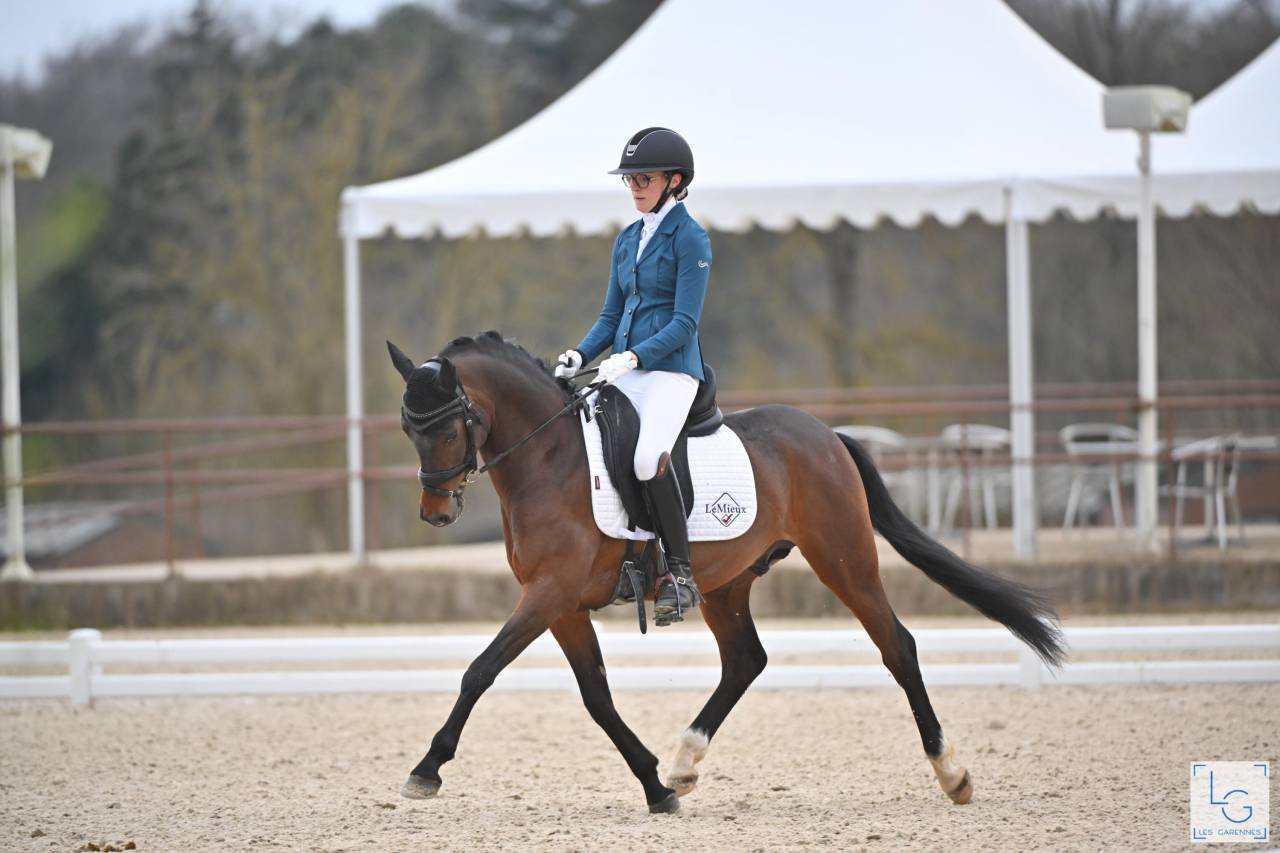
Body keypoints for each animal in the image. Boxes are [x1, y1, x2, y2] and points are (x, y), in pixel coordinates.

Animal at [387, 330, 1064, 815]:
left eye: (446, 427)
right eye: (406, 429)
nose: (435, 513)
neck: (550, 460)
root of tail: (826, 434)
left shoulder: (549, 594)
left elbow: (480, 671)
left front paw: (426, 769)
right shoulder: (562, 605)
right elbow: (597, 697)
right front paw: (655, 786)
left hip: (844, 558)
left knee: (897, 645)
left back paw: (953, 775)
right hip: (726, 583)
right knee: (745, 660)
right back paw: (684, 764)